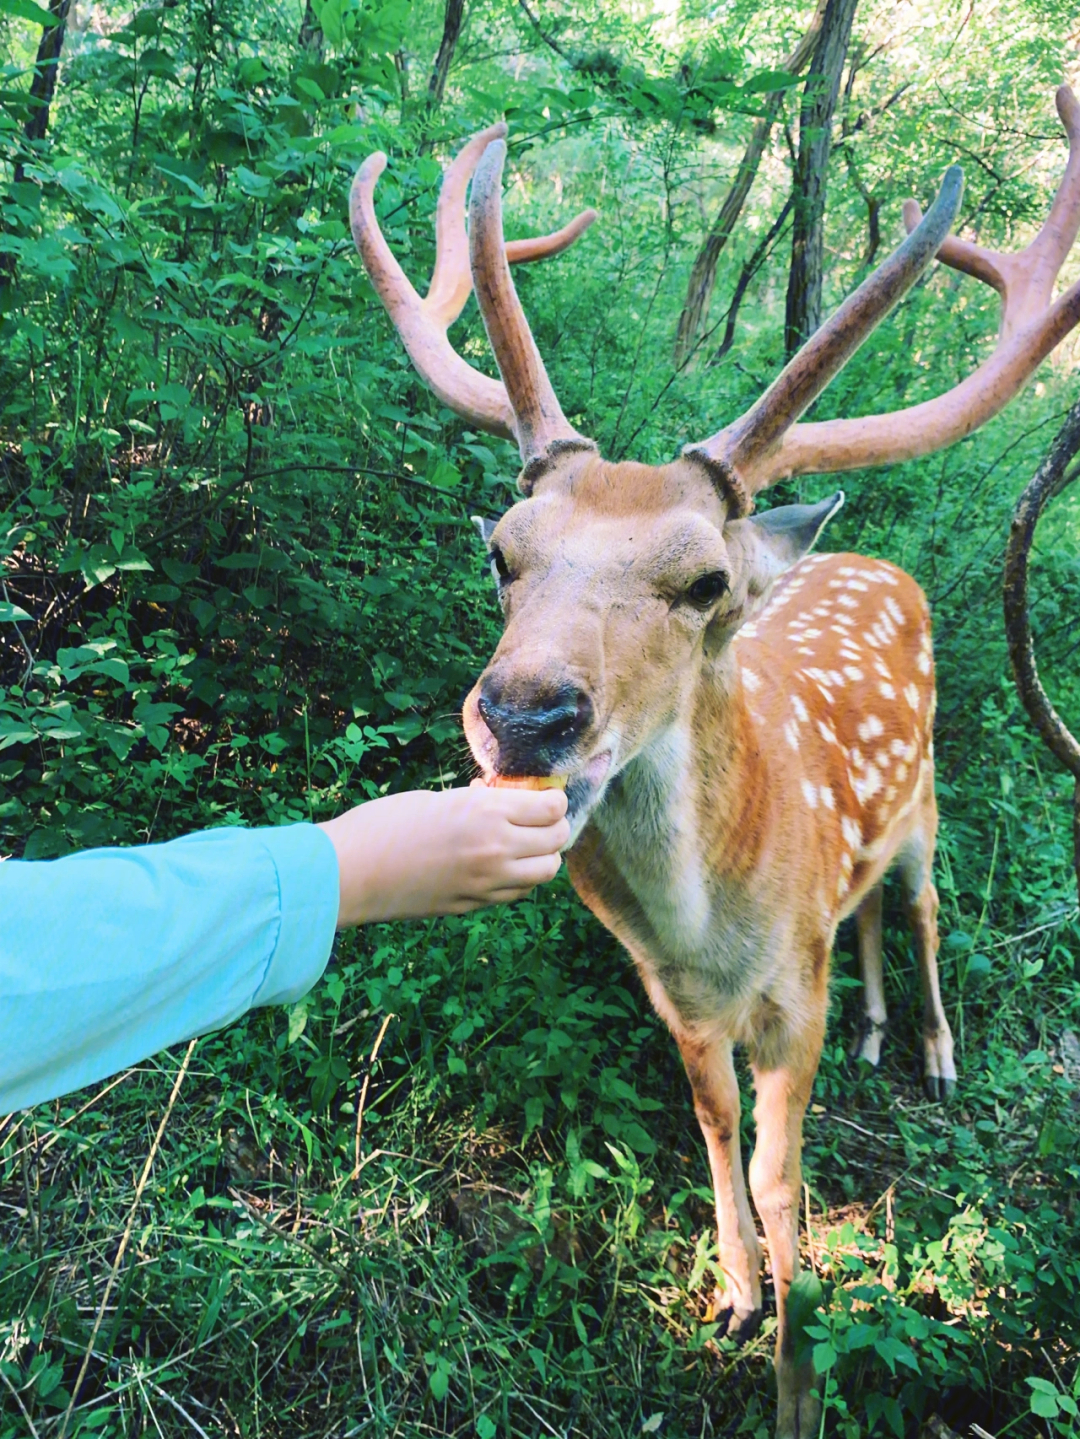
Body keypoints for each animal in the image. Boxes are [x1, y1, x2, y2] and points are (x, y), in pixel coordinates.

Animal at [350, 92, 1080, 1439]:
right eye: (500, 550)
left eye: (701, 583)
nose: (525, 713)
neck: (709, 929)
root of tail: (866, 556)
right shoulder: (673, 996)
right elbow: (714, 1118)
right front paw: (735, 1292)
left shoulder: (785, 994)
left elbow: (788, 1175)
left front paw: (796, 1372)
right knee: (864, 919)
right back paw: (879, 1033)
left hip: (928, 801)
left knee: (921, 905)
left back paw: (935, 1050)